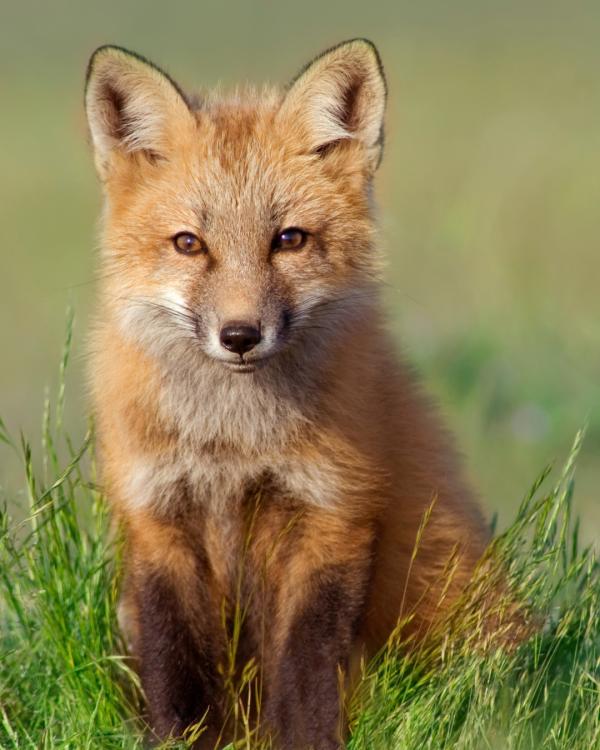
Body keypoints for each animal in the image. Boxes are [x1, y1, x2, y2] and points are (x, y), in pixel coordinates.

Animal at [85, 40, 494, 749]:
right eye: (189, 244)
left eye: (289, 240)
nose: (240, 335)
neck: (232, 445)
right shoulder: (156, 518)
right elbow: (173, 669)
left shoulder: (332, 514)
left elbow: (304, 673)